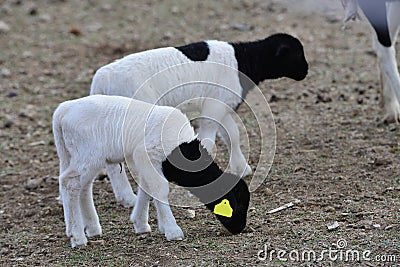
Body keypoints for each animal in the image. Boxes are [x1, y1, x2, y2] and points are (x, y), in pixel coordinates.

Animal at [52, 95, 248, 248]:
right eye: (230, 203)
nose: (239, 228)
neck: (181, 146)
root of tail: (64, 110)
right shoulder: (144, 155)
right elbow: (159, 188)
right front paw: (172, 230)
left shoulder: (141, 160)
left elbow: (146, 188)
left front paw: (141, 224)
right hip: (88, 155)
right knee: (70, 183)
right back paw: (78, 236)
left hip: (77, 156)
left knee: (82, 187)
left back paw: (91, 228)